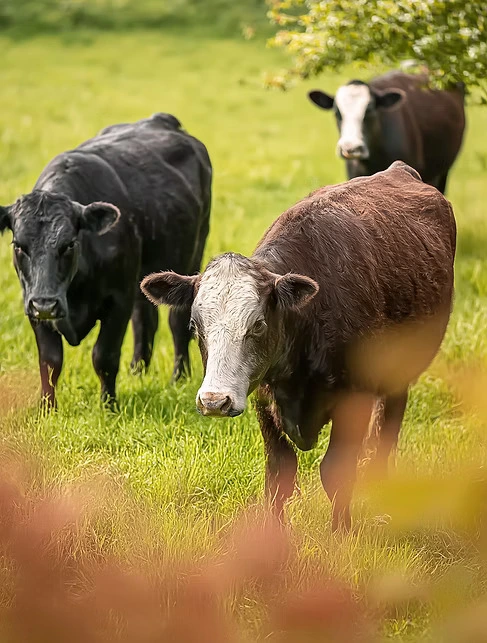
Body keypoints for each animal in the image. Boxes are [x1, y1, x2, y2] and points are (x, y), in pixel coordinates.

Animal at [0, 113, 212, 408]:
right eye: (19, 245)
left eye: (69, 244)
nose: (46, 303)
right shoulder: (31, 304)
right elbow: (50, 362)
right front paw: (47, 409)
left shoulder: (117, 300)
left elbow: (104, 356)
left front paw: (109, 406)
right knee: (145, 320)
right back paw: (138, 372)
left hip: (192, 254)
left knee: (177, 322)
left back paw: (178, 378)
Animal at [141, 161, 456, 531]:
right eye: (194, 326)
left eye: (258, 324)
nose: (214, 401)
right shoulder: (263, 401)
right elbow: (280, 475)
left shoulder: (356, 399)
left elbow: (336, 471)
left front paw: (341, 533)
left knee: (385, 432)